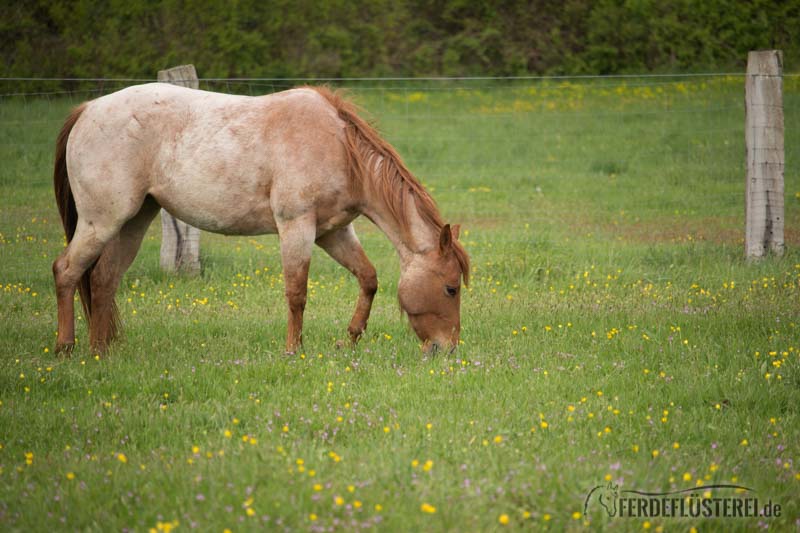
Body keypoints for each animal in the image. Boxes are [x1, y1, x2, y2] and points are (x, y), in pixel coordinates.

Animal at [50, 84, 468, 354]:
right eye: (451, 288)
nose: (447, 349)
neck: (338, 146)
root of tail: (87, 109)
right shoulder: (296, 226)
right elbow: (297, 293)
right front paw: (293, 350)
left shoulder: (332, 232)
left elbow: (368, 279)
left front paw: (349, 338)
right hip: (102, 221)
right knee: (67, 271)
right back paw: (66, 347)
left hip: (133, 222)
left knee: (103, 280)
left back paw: (102, 349)